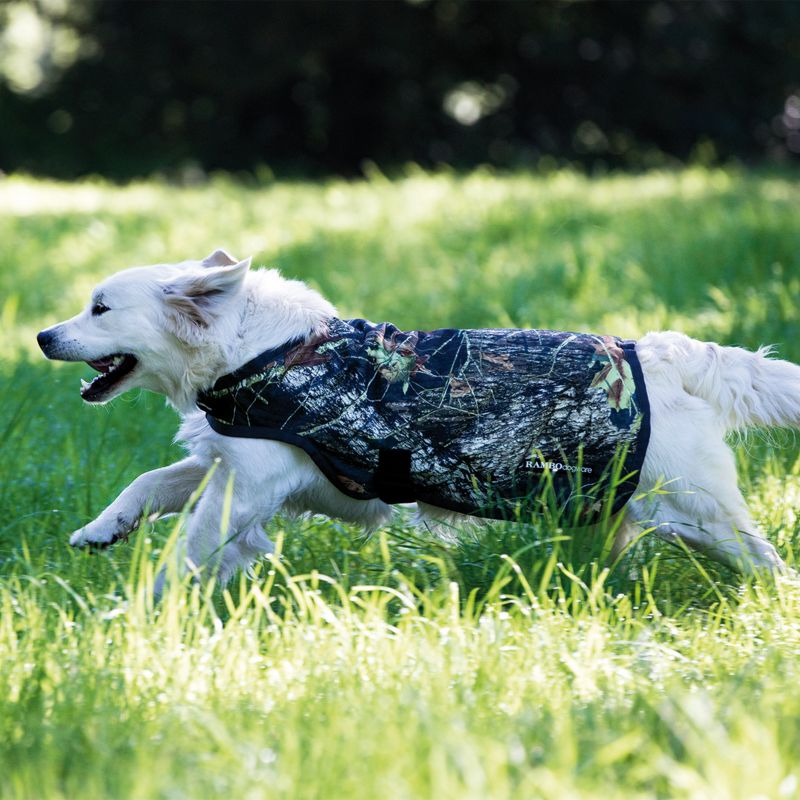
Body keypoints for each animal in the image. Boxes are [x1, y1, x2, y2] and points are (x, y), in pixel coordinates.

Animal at [39, 250, 800, 588]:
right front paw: (101, 530)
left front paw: (146, 607)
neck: (260, 351)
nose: (44, 336)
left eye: (100, 308)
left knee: (771, 565)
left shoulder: (248, 483)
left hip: (701, 512)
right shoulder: (226, 462)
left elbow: (187, 547)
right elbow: (148, 482)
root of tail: (662, 354)